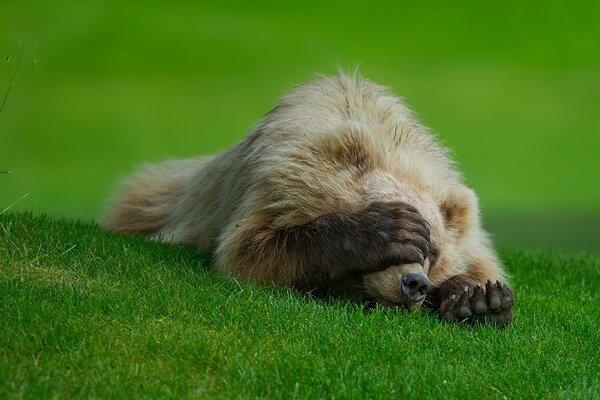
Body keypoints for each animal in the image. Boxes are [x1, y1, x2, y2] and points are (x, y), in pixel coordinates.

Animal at [105, 73, 512, 326]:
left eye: (434, 251)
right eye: (417, 238)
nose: (414, 284)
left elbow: (480, 263)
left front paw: (479, 301)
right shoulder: (273, 183)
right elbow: (250, 250)